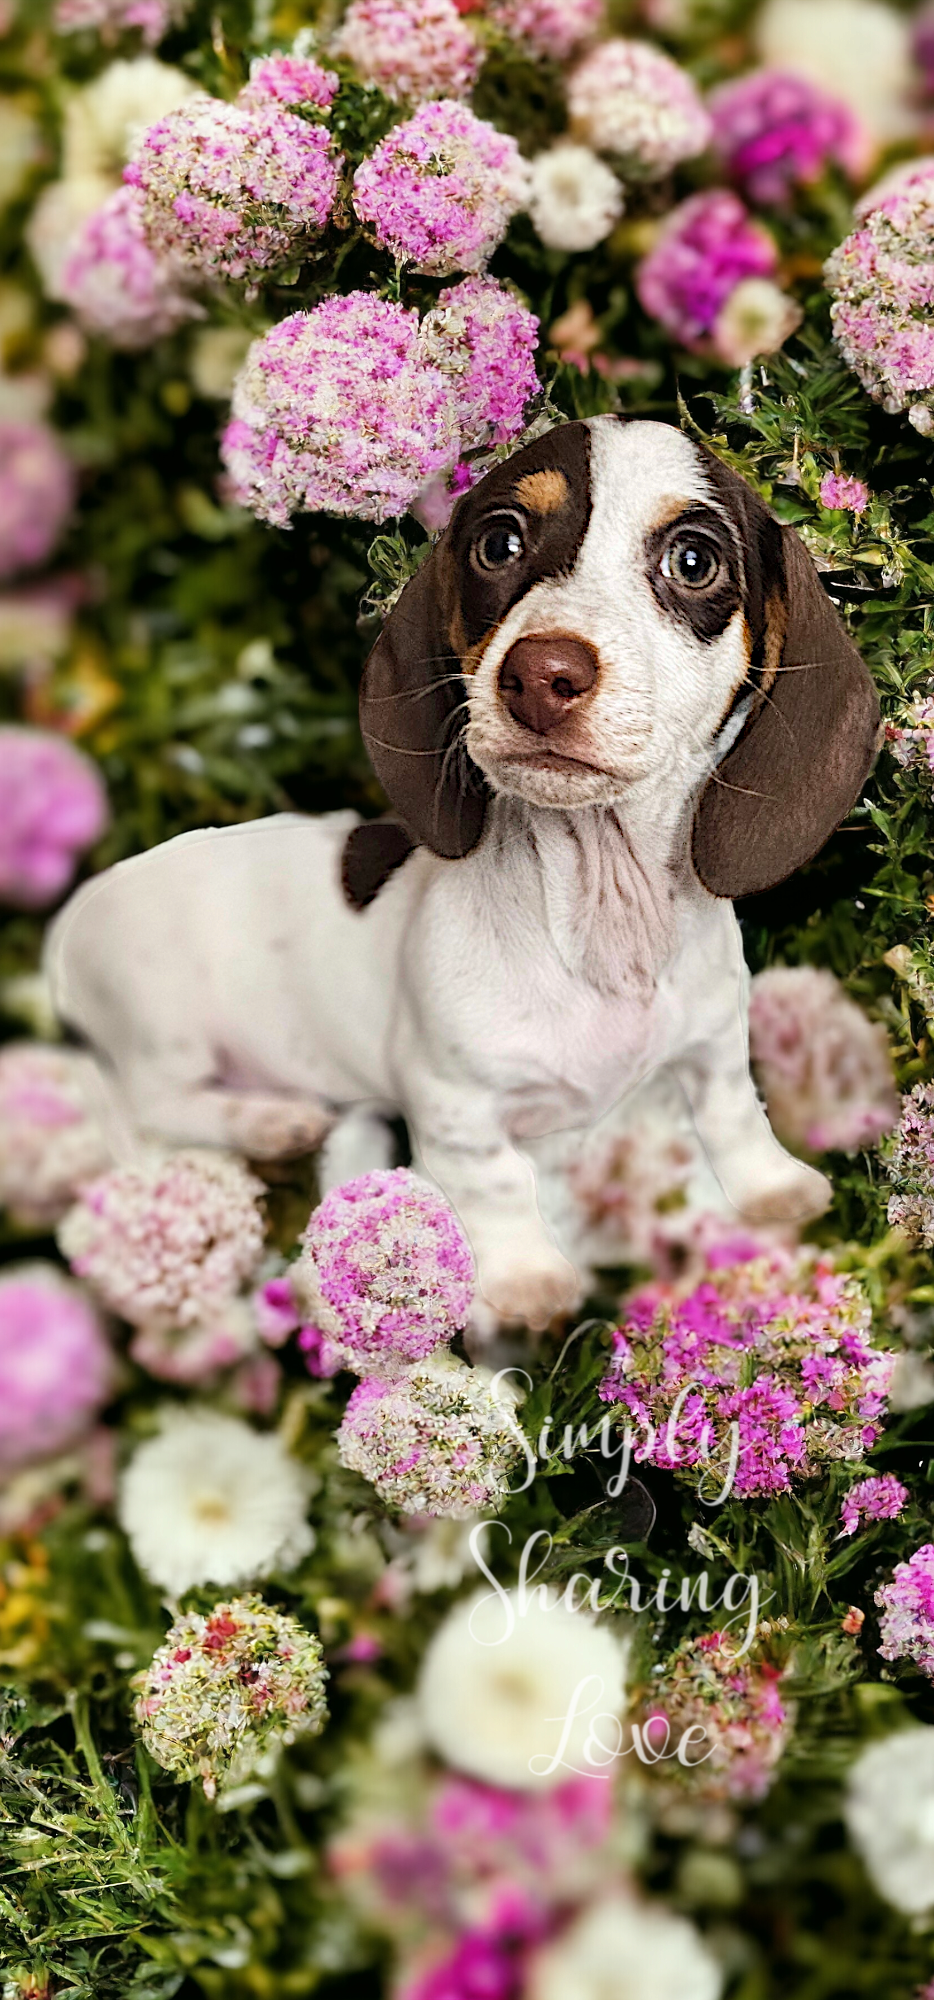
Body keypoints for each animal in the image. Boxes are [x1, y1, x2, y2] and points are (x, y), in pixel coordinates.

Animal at [46, 415, 881, 1329]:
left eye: (693, 560)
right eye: (498, 543)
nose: (541, 677)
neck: (601, 919)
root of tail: (74, 915)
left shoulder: (715, 1039)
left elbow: (733, 1111)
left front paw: (772, 1186)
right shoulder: (452, 1102)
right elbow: (498, 1185)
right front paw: (526, 1278)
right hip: (163, 1024)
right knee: (152, 1101)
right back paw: (268, 1122)